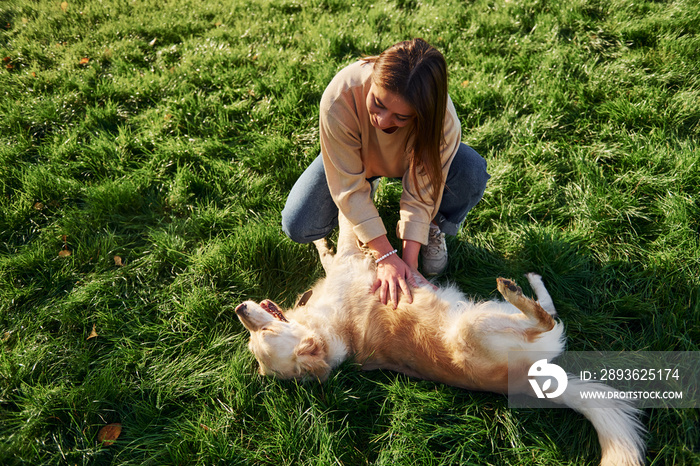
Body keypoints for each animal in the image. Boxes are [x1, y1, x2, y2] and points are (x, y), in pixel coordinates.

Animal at [237, 217, 644, 464]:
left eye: (257, 337)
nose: (239, 309)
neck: (331, 332)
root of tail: (528, 380)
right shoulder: (352, 260)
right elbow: (347, 226)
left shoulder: (344, 263)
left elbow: (333, 243)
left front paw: (321, 240)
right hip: (479, 324)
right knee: (545, 319)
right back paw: (515, 288)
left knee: (550, 312)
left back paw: (528, 281)